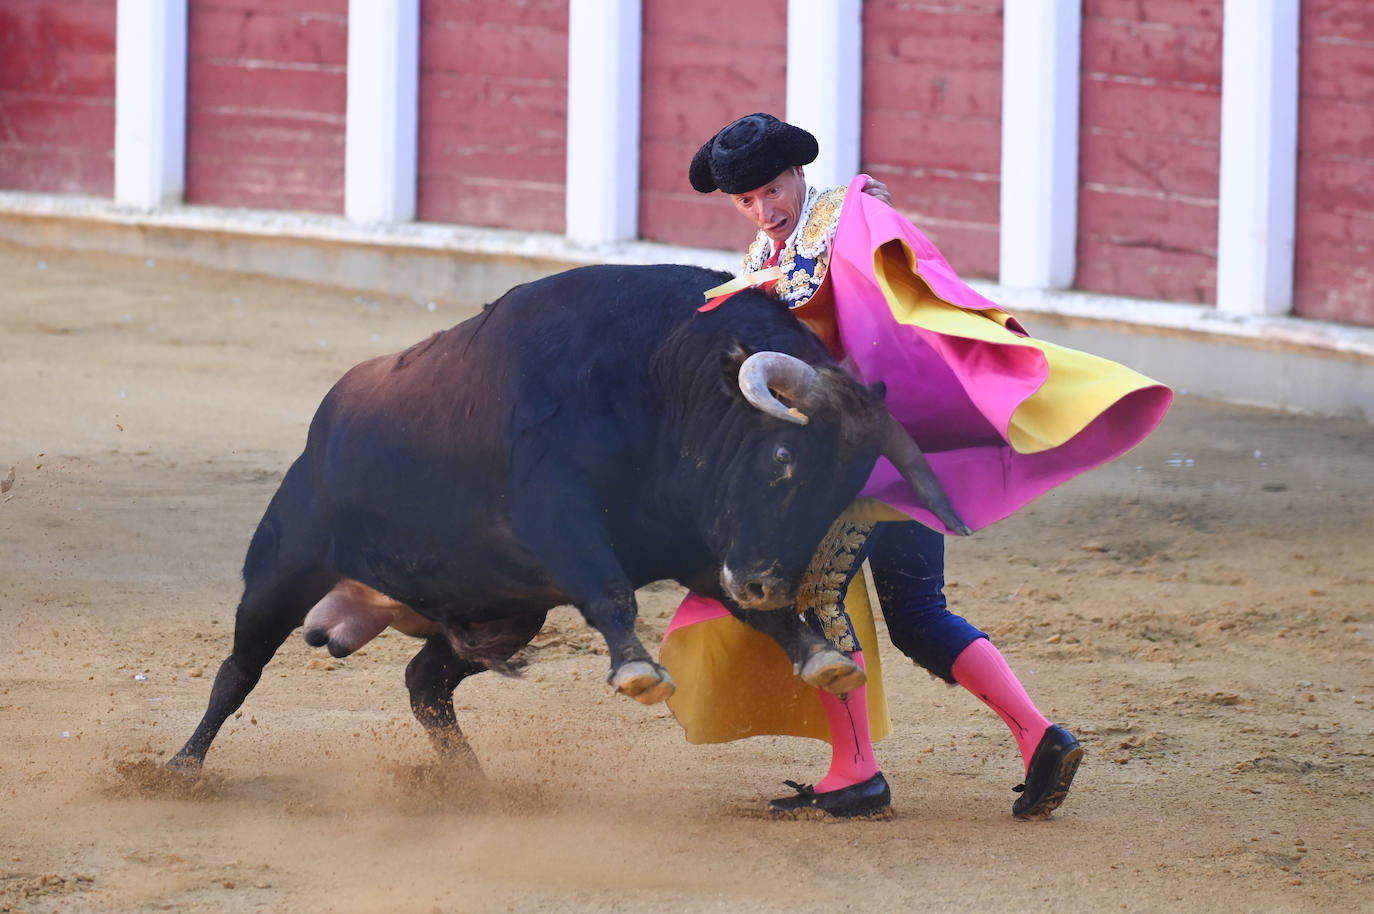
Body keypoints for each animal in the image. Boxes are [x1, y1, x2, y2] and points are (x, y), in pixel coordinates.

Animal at [171, 263, 967, 769]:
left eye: (845, 489)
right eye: (781, 458)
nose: (769, 582)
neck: (660, 382)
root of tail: (326, 420)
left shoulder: (697, 544)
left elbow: (751, 615)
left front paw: (822, 656)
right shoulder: (558, 514)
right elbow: (608, 589)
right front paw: (640, 672)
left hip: (500, 611)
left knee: (426, 686)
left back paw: (471, 784)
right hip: (284, 566)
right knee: (239, 669)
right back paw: (179, 766)